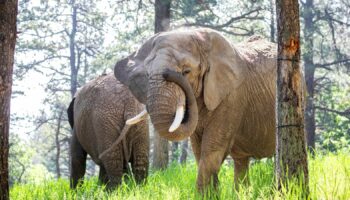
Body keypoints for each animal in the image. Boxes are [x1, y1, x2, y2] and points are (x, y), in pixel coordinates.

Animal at [113, 28, 278, 192]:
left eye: (186, 71)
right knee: (240, 161)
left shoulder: (232, 97)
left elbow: (212, 151)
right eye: (147, 74)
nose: (168, 73)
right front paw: (211, 194)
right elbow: (198, 151)